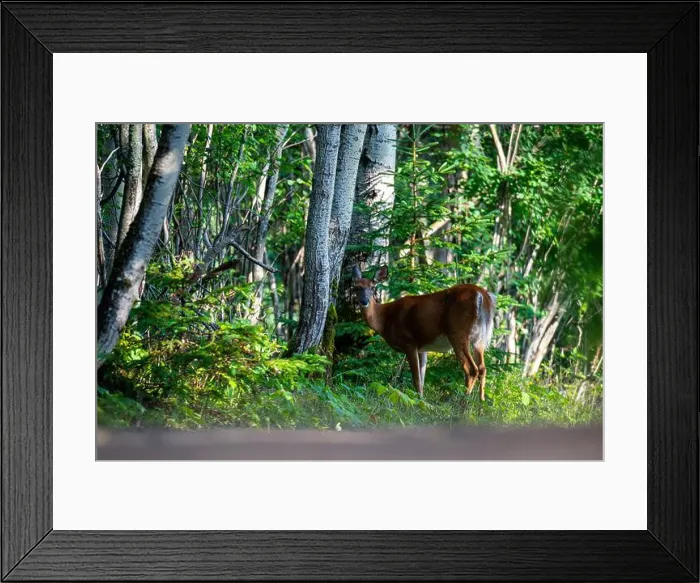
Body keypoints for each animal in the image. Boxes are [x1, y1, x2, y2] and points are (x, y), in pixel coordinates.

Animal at [352, 265, 497, 401]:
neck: (385, 319)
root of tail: (482, 295)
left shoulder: (409, 342)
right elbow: (422, 378)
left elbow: (416, 378)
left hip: (458, 332)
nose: (364, 302)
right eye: (356, 287)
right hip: (479, 339)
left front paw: (418, 401)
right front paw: (421, 400)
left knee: (471, 369)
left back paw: (462, 402)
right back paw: (481, 403)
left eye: (372, 287)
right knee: (483, 368)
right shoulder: (423, 348)